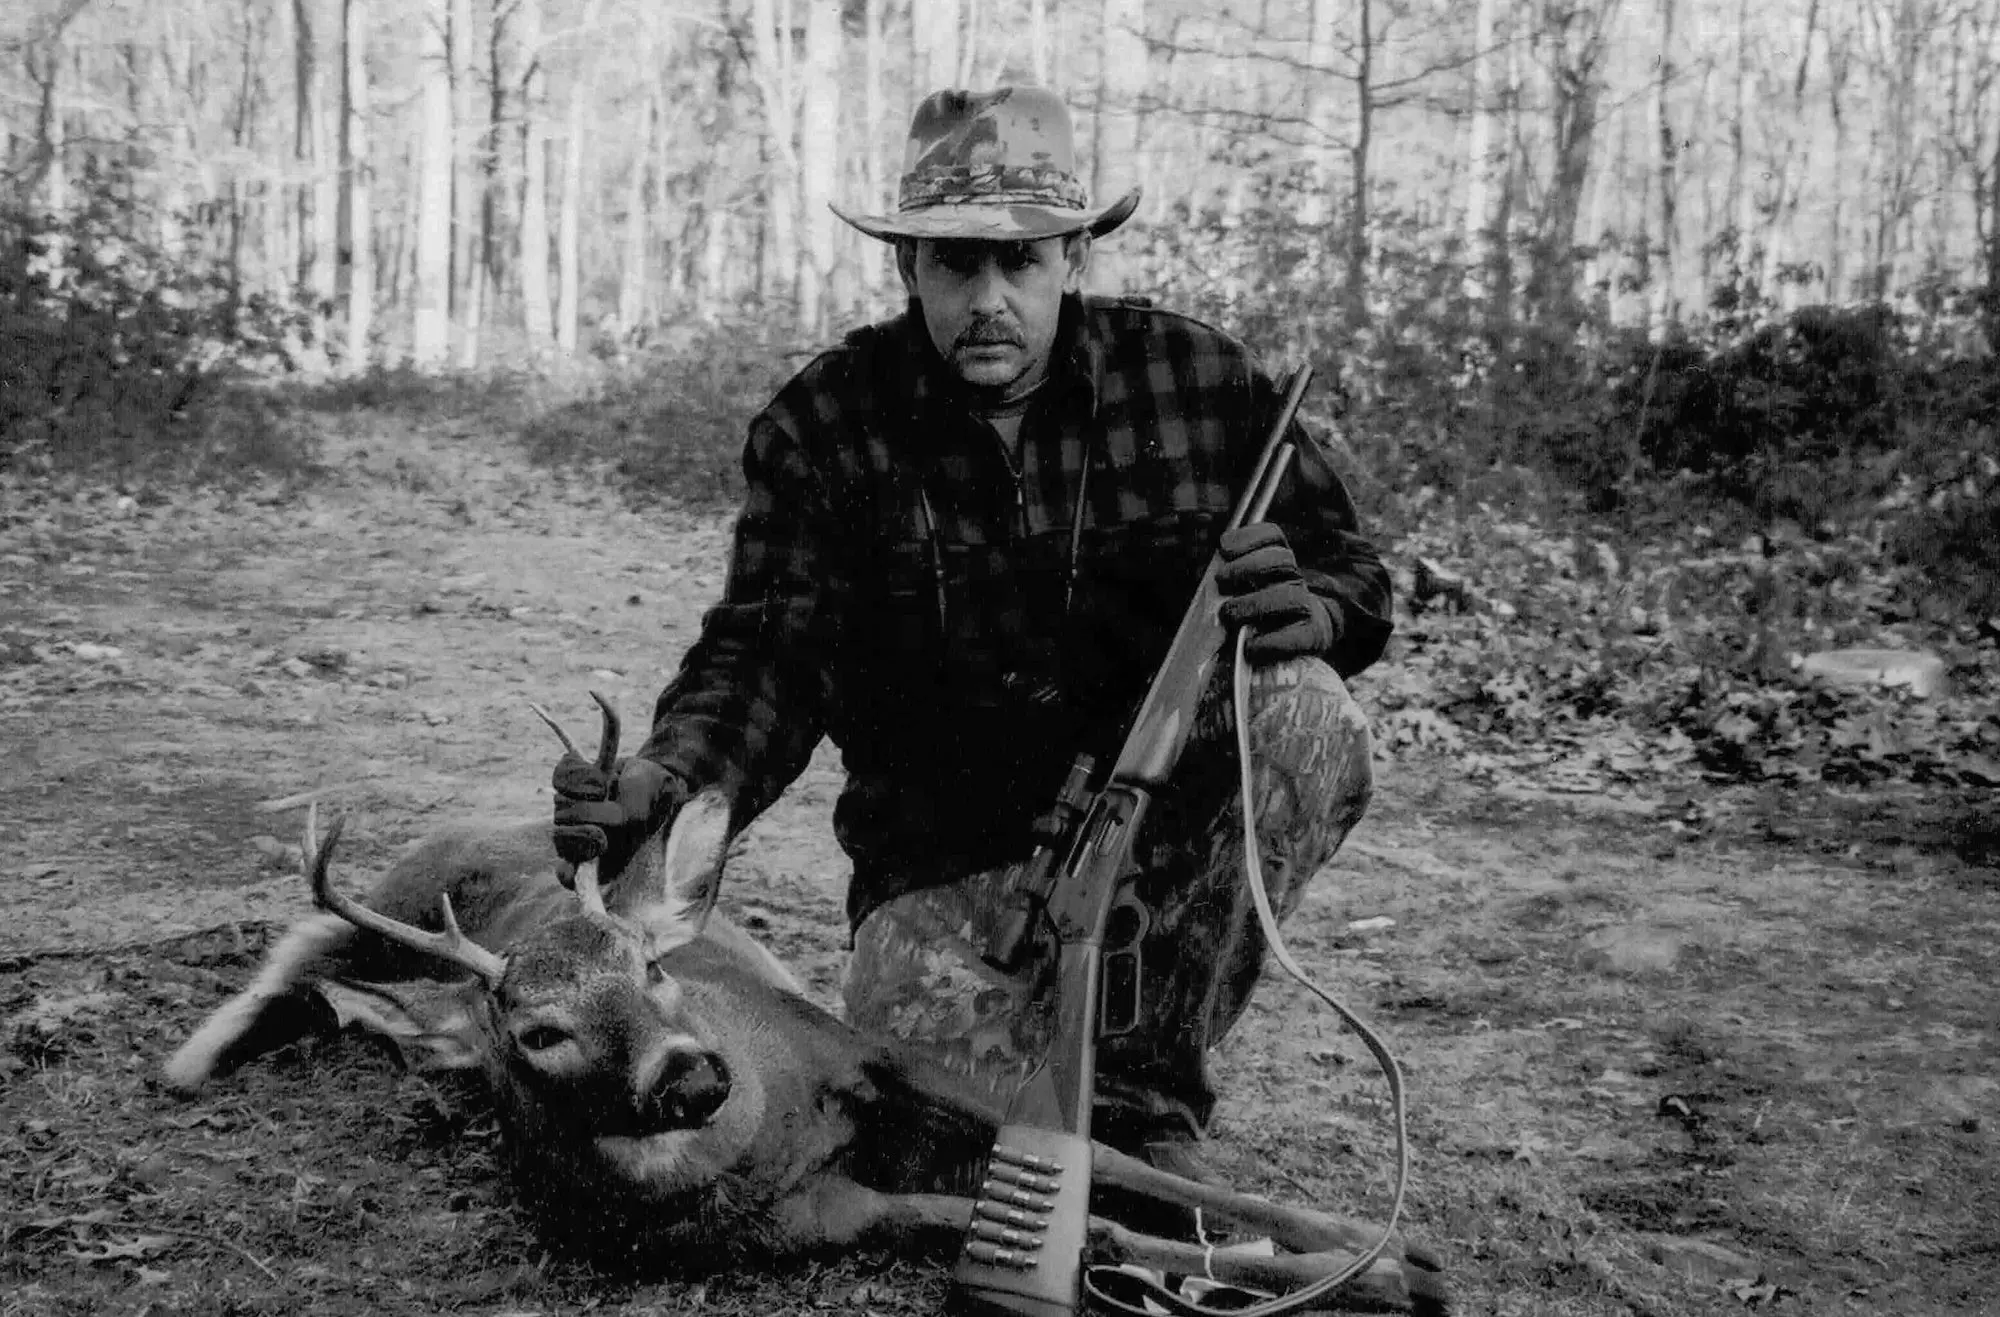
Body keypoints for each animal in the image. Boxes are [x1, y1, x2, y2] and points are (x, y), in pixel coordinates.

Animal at [156, 692, 1440, 1304]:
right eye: (538, 1031)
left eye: (651, 966)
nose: (690, 1071)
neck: (766, 1139)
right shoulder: (827, 1221)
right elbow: (1094, 1223)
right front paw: (1376, 1271)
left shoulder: (868, 1049)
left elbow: (1124, 1168)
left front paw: (1366, 1243)